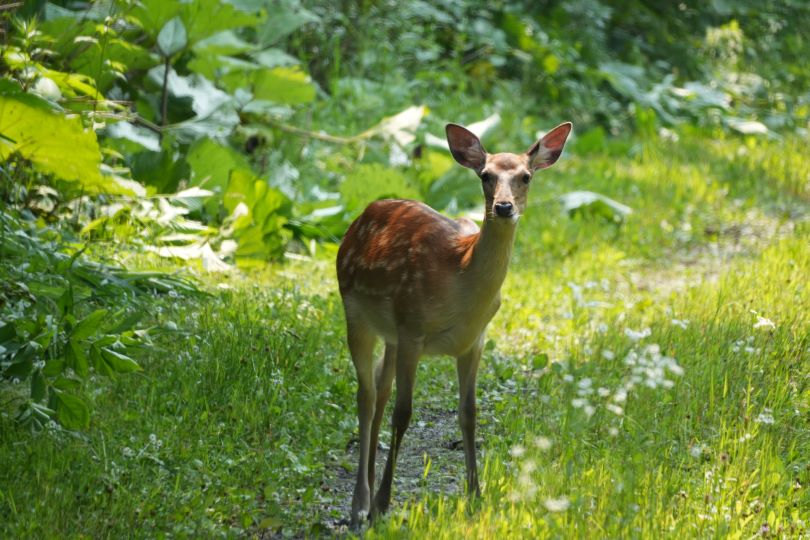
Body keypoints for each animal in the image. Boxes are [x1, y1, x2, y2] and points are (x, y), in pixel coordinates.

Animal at [332, 119, 568, 528]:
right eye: (486, 175)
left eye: (526, 176)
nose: (503, 207)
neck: (459, 276)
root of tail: (361, 217)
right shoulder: (413, 329)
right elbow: (403, 413)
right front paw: (383, 502)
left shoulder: (473, 341)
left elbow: (469, 413)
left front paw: (476, 493)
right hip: (356, 312)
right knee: (366, 396)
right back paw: (360, 503)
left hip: (391, 335)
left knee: (379, 389)